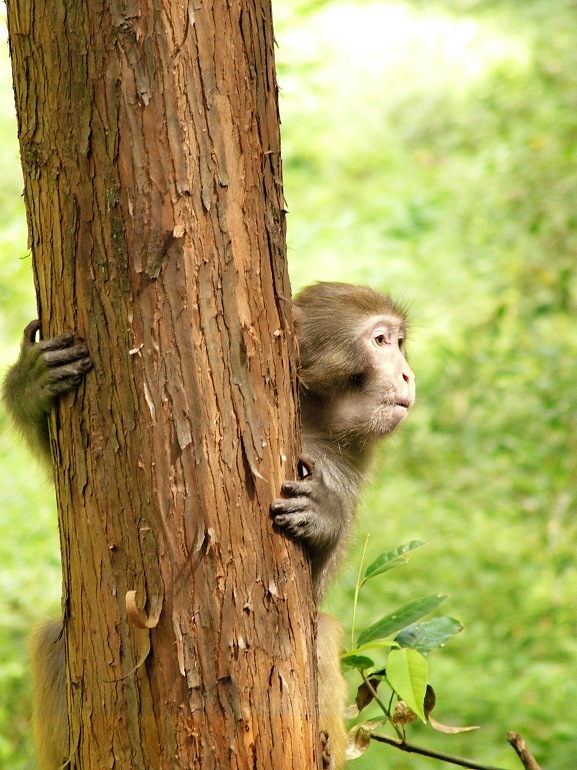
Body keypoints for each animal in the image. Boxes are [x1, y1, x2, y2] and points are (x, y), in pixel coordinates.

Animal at [1, 282, 414, 768]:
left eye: (398, 342)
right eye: (381, 341)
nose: (407, 374)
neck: (315, 415)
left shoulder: (345, 463)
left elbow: (309, 592)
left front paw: (324, 518)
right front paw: (29, 384)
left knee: (322, 632)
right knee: (53, 636)